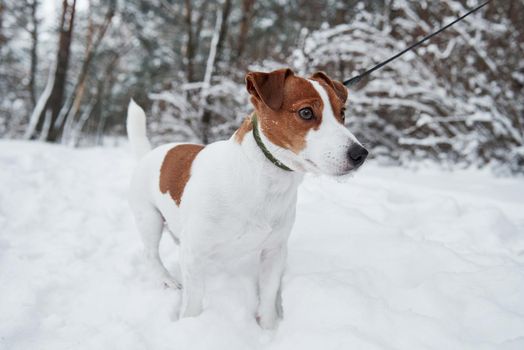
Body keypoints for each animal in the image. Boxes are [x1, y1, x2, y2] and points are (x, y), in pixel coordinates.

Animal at [126, 68, 368, 328]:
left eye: (342, 113)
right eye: (306, 112)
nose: (360, 154)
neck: (262, 181)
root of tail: (150, 152)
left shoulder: (274, 251)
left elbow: (269, 293)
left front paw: (268, 327)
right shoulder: (194, 253)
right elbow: (193, 301)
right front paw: (190, 326)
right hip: (149, 218)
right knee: (150, 254)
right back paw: (167, 279)